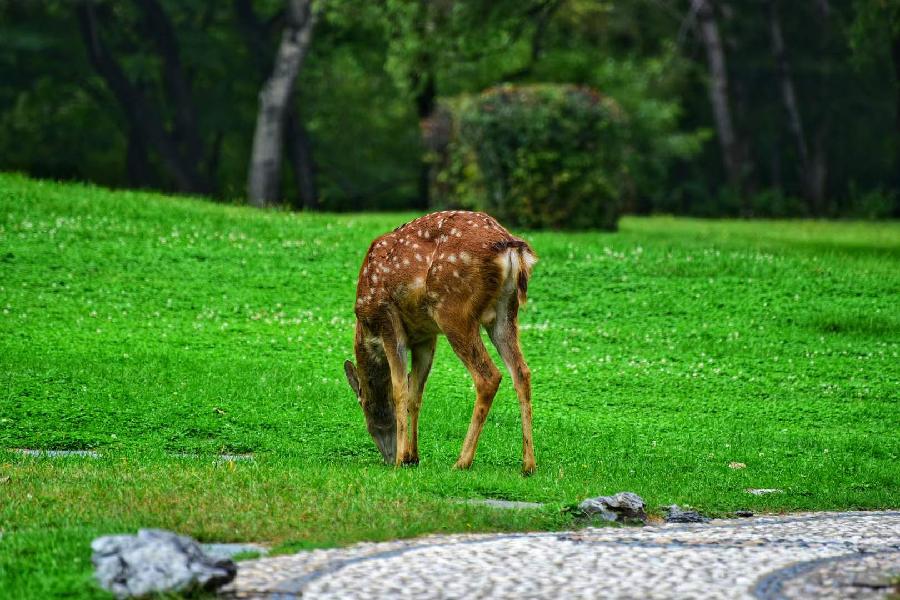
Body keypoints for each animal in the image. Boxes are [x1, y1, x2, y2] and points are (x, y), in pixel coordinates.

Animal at [343, 210, 538, 475]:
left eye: (366, 414)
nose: (388, 457)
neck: (366, 327)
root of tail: (510, 247)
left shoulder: (388, 320)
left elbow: (399, 389)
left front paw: (401, 460)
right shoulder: (425, 336)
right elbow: (415, 393)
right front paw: (412, 456)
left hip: (453, 310)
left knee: (489, 376)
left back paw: (462, 460)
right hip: (506, 311)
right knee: (522, 372)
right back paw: (528, 464)